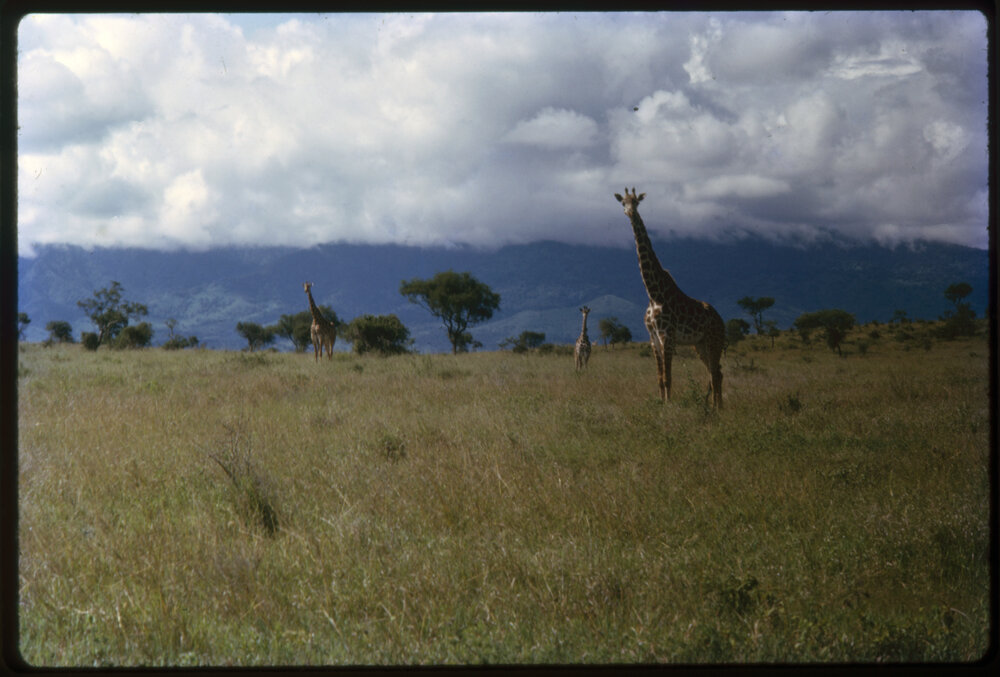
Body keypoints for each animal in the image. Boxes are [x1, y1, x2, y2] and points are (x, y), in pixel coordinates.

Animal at [614, 188, 724, 408]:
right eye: (623, 202)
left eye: (636, 202)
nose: (630, 212)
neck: (653, 293)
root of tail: (722, 321)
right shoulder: (653, 338)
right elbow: (659, 378)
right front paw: (661, 403)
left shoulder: (667, 335)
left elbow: (668, 377)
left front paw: (669, 406)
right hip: (700, 344)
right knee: (715, 372)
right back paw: (716, 407)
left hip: (713, 341)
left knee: (716, 374)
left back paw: (716, 408)